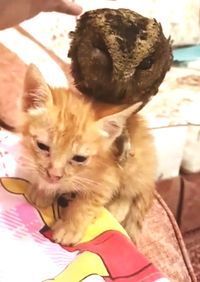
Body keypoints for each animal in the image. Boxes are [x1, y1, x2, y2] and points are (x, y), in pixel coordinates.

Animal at [15, 64, 156, 245]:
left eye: (79, 158)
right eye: (42, 146)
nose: (54, 175)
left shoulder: (108, 177)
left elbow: (87, 203)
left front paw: (69, 227)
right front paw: (42, 190)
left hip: (133, 167)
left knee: (135, 191)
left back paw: (118, 208)